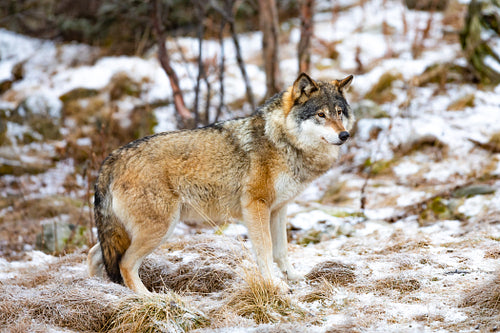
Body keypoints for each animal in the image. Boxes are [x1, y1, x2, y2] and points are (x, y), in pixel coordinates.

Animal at [89, 71, 356, 292]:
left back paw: (95, 290)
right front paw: (274, 284)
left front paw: (293, 277)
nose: (344, 135)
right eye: (320, 115)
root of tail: (110, 160)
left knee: (95, 253)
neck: (283, 142)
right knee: (125, 264)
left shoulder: (279, 209)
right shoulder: (256, 206)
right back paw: (151, 299)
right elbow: (265, 250)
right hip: (160, 229)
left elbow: (281, 250)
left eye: (339, 112)